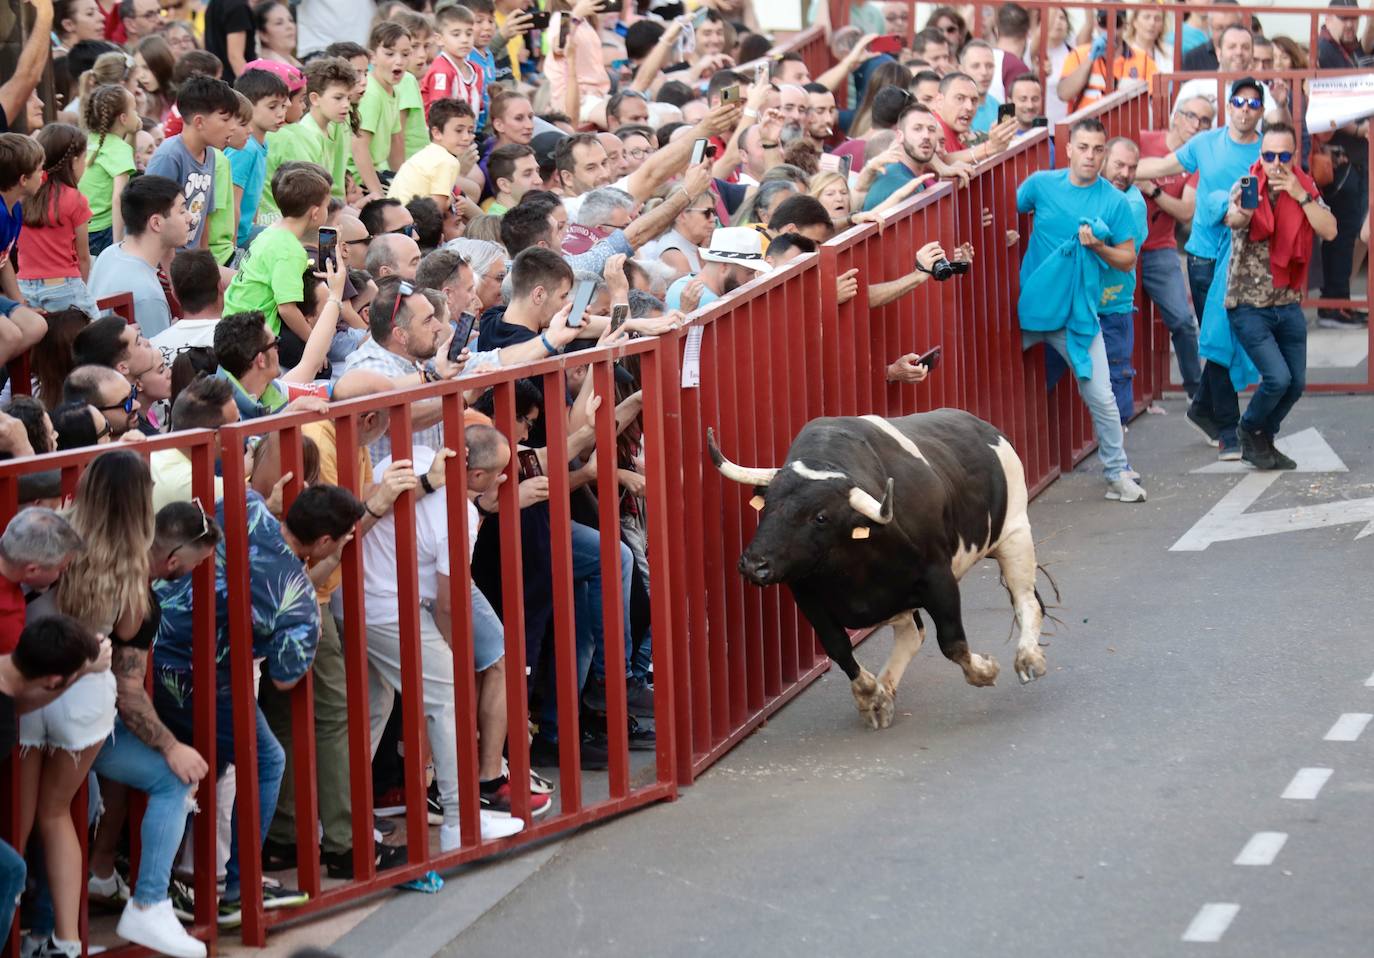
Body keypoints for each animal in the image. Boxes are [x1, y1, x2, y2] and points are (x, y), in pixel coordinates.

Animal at [714, 406, 1044, 731]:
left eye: (820, 517)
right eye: (767, 504)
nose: (754, 565)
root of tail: (985, 428)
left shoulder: (938, 579)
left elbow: (952, 642)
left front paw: (986, 670)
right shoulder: (807, 594)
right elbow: (839, 648)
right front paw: (872, 696)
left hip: (1015, 533)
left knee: (1027, 599)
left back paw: (1029, 658)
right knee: (911, 634)